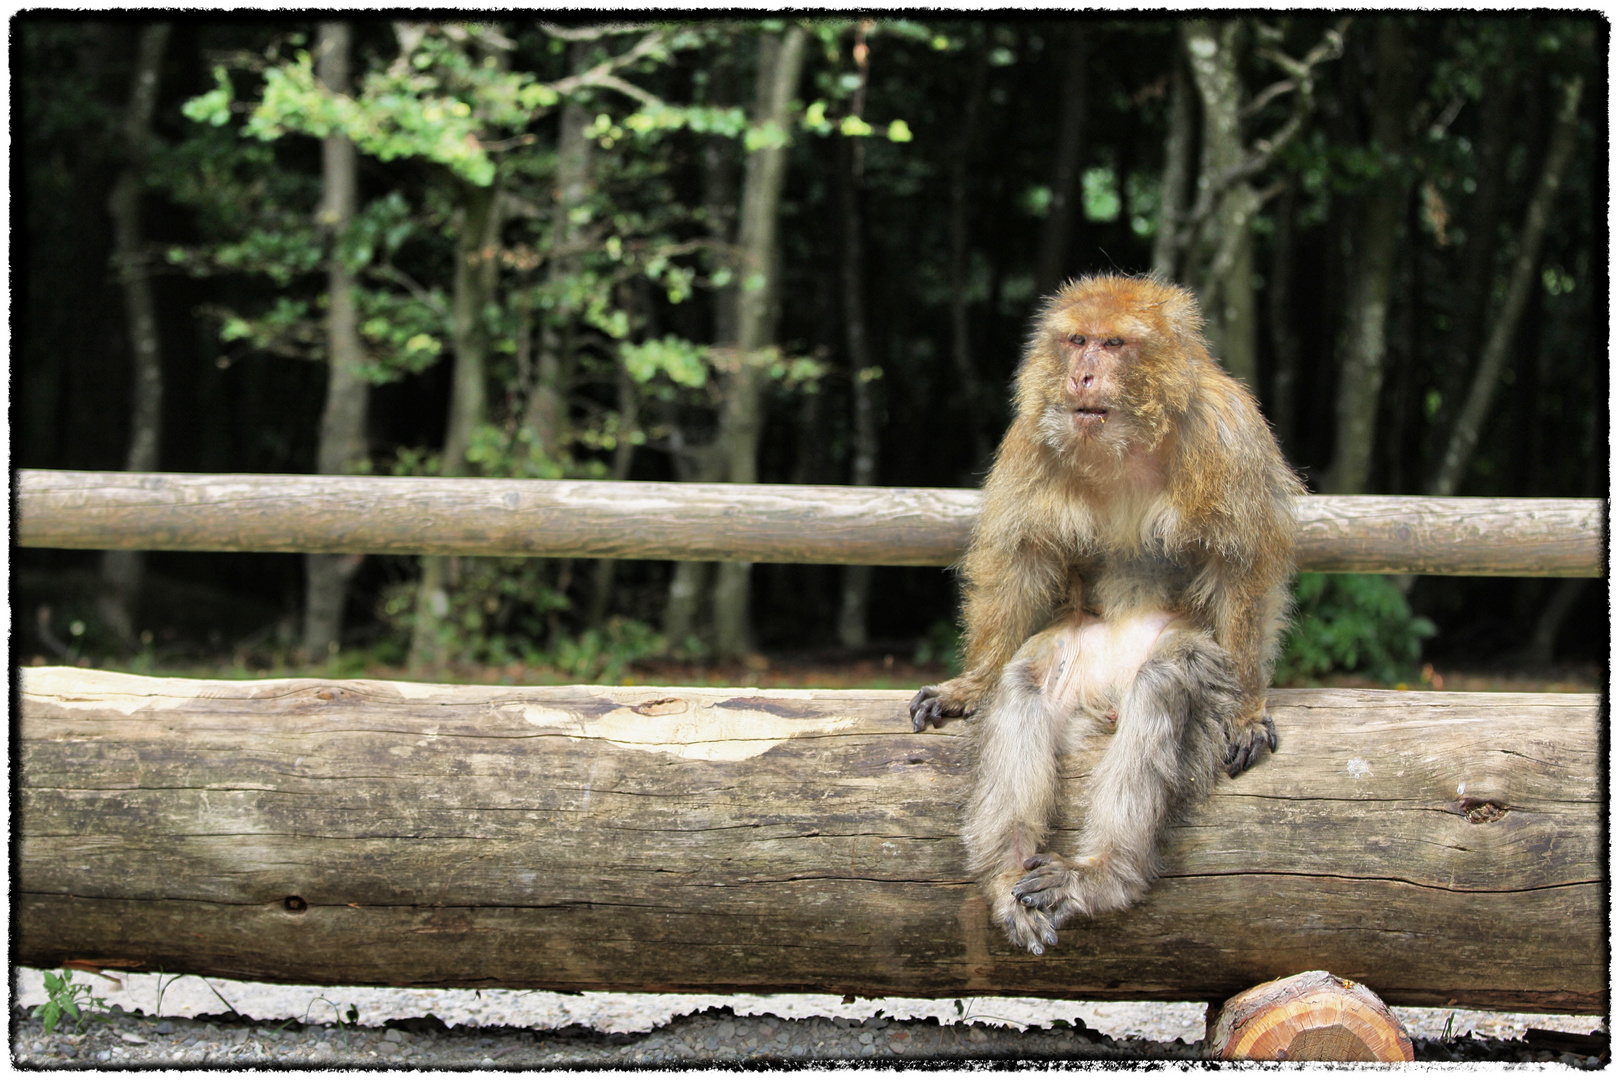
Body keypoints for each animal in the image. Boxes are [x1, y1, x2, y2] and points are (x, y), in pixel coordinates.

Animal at [913, 272, 1302, 952]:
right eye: (1077, 341)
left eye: (1114, 344)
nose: (1083, 376)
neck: (1129, 442)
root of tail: (1104, 700)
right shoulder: (1032, 438)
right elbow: (1019, 559)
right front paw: (970, 685)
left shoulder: (1227, 435)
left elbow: (1244, 567)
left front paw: (1250, 711)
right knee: (1025, 687)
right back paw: (1010, 869)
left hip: (1177, 650)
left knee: (1164, 684)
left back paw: (1099, 875)